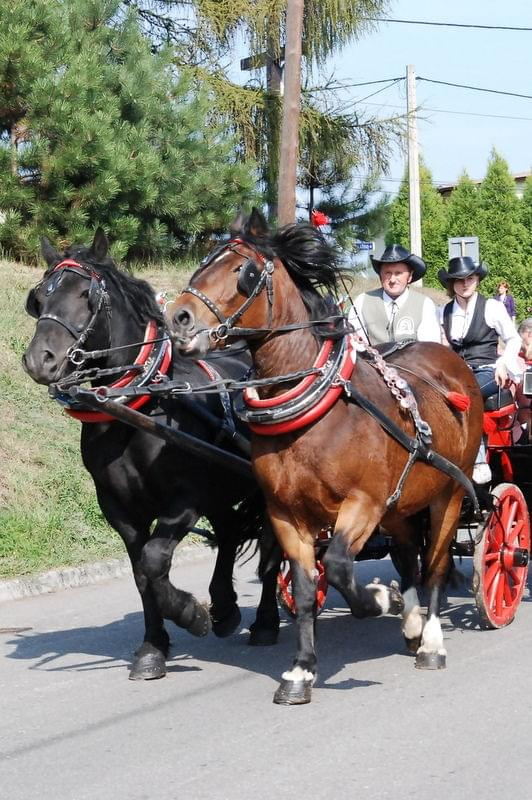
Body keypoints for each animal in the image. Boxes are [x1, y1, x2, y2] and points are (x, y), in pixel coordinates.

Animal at [21, 228, 278, 680]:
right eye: (39, 298)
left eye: (87, 294)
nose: (40, 360)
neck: (140, 405)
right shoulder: (117, 507)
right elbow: (141, 572)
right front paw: (153, 647)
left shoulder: (185, 500)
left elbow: (155, 559)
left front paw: (191, 614)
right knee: (230, 532)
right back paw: (225, 606)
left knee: (269, 548)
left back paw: (263, 621)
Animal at [168, 209, 484, 704]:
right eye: (204, 262)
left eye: (244, 271)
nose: (177, 318)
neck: (317, 412)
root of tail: (453, 364)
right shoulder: (285, 514)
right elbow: (303, 587)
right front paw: (301, 670)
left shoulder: (362, 504)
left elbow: (336, 565)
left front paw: (378, 599)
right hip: (400, 502)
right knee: (408, 555)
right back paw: (412, 622)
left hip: (448, 492)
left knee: (435, 561)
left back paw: (430, 639)